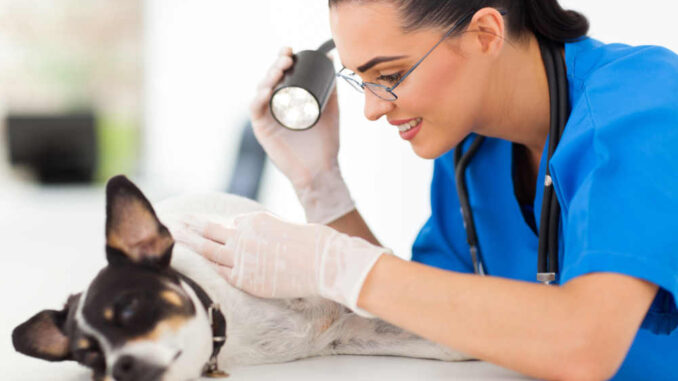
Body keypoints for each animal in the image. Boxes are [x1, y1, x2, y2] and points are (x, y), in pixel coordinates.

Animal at [10, 174, 470, 378]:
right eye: (91, 356)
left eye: (129, 308)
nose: (120, 368)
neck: (228, 323)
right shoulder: (349, 335)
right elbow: (444, 344)